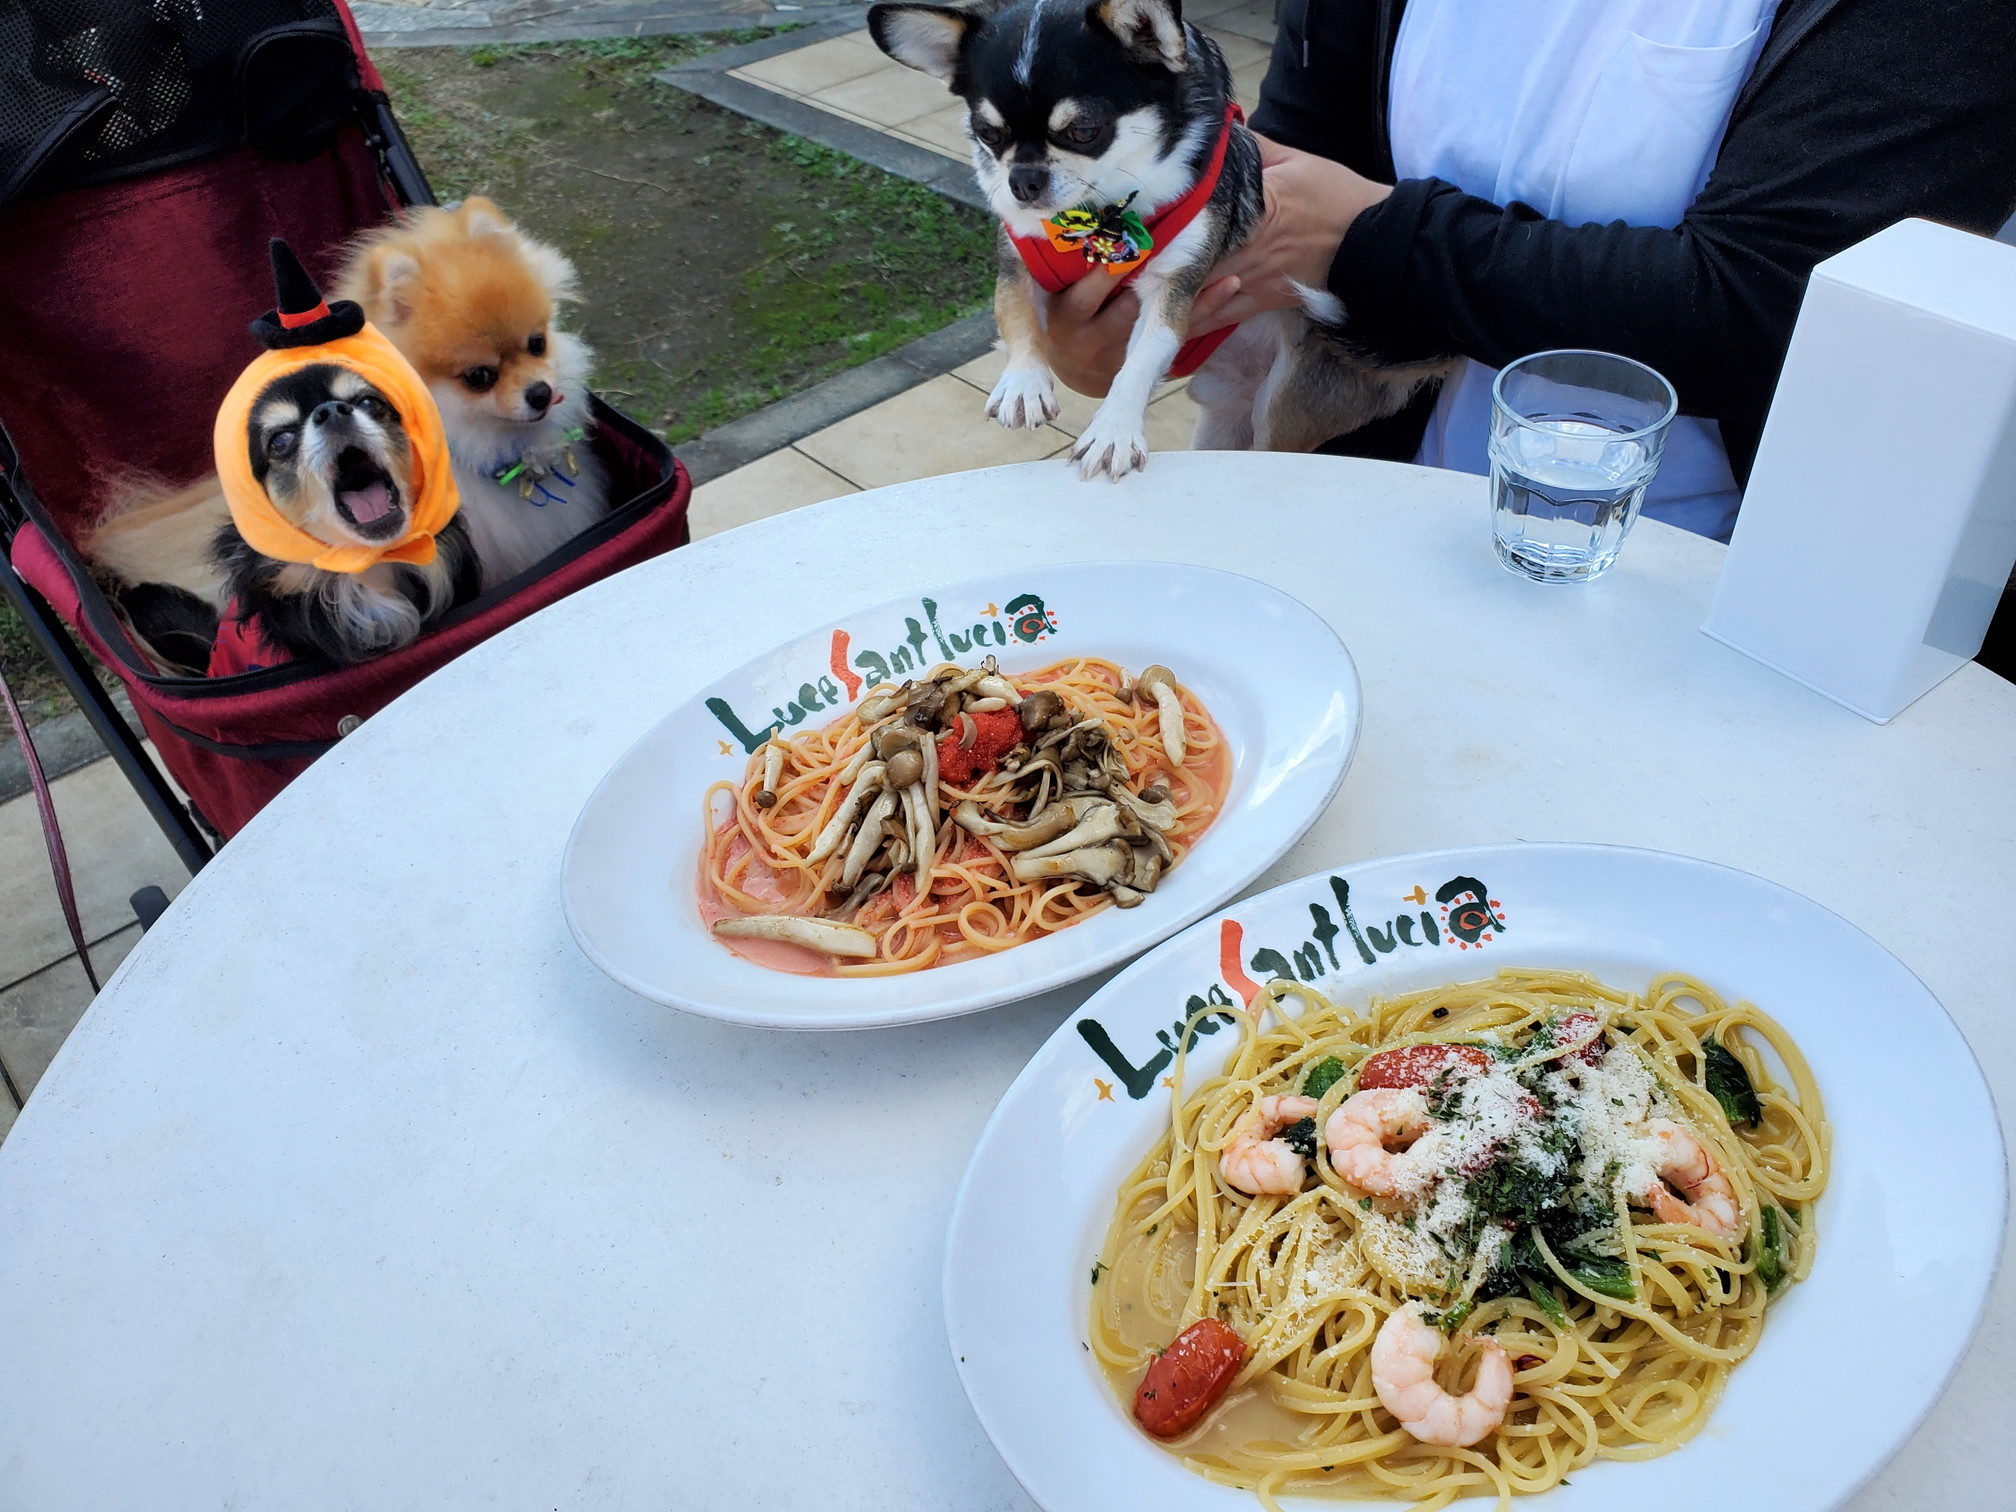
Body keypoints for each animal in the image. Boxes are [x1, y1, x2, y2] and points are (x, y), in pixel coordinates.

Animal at [866, 0, 1451, 479]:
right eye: (988, 134)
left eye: (1083, 131)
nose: (1022, 182)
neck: (1096, 217)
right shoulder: (1018, 261)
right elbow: (1016, 314)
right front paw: (1024, 382)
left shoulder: (1174, 286)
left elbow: (1143, 357)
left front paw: (1113, 429)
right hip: (1223, 420)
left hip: (1284, 404)